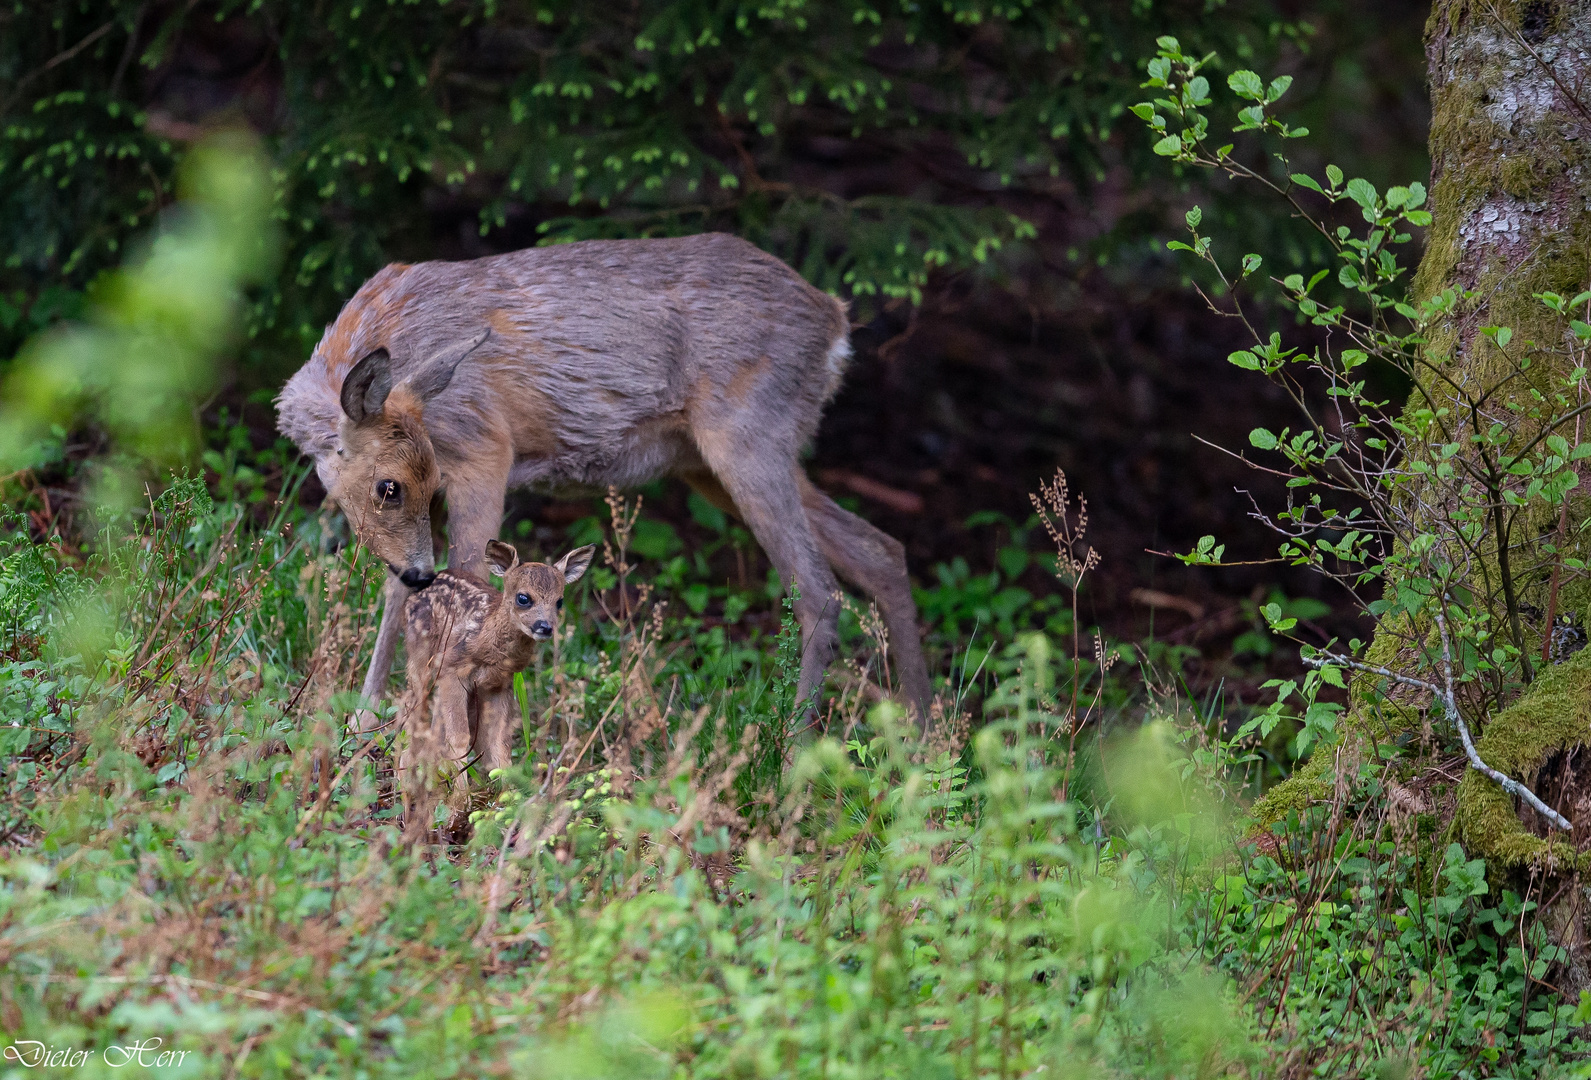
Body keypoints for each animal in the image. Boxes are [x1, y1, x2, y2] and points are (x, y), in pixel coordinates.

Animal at [276, 233, 929, 731]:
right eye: (393, 485)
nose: (416, 569)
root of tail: (835, 321)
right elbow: (402, 594)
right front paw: (362, 720)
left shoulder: (485, 449)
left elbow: (461, 581)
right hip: (710, 460)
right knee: (880, 550)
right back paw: (923, 734)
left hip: (750, 436)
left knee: (819, 589)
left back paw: (794, 752)